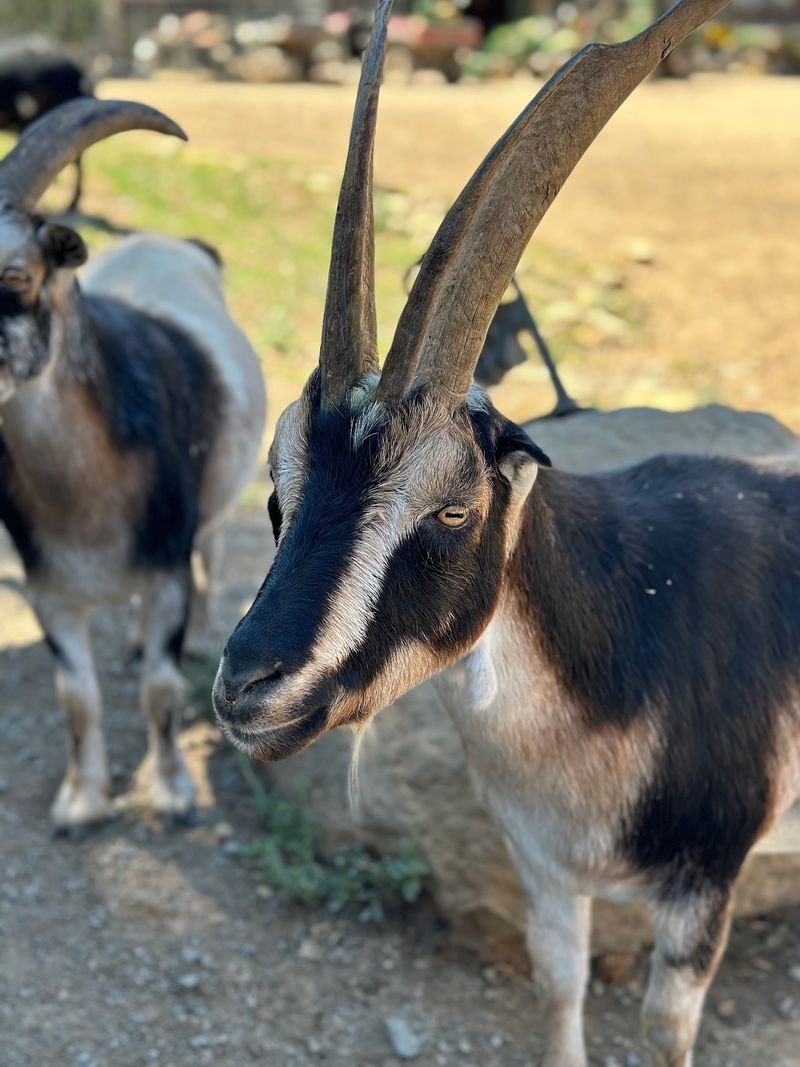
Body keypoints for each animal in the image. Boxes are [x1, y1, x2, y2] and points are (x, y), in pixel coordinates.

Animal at [0, 99, 266, 829]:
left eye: (17, 275)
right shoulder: (50, 593)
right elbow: (78, 700)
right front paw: (81, 801)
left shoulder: (166, 571)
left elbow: (161, 688)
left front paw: (171, 792)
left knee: (213, 552)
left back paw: (200, 636)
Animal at [213, 0, 799, 1064]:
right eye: (277, 493)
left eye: (454, 507)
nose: (248, 686)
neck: (627, 633)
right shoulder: (545, 870)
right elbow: (557, 984)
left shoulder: (708, 879)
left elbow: (663, 1028)